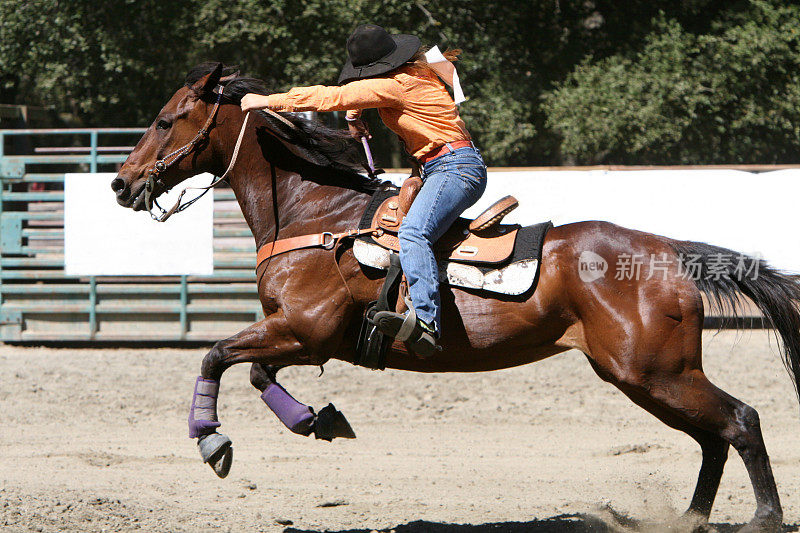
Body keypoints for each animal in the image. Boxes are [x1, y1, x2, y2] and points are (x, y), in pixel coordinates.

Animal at [111, 64, 800, 528]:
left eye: (165, 120)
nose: (121, 183)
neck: (317, 215)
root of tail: (669, 251)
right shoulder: (299, 337)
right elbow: (254, 371)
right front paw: (318, 420)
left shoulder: (306, 331)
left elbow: (216, 356)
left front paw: (213, 442)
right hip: (646, 376)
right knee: (713, 437)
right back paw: (690, 519)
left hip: (655, 371)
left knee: (740, 420)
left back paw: (763, 518)